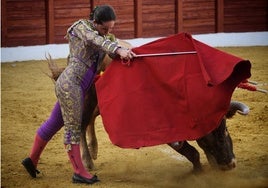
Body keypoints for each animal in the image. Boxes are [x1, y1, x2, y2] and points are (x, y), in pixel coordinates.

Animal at [79, 83, 249, 172]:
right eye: (206, 141)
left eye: (225, 130)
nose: (230, 164)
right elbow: (192, 153)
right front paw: (199, 172)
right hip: (86, 102)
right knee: (80, 126)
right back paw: (87, 162)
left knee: (91, 120)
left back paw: (93, 150)